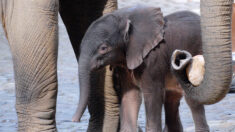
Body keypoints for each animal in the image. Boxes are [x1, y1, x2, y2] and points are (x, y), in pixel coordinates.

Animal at [74, 5, 208, 132]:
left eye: (103, 48)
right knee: (172, 99)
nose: (75, 120)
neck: (126, 19)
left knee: (191, 100)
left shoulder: (152, 61)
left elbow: (153, 95)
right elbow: (131, 96)